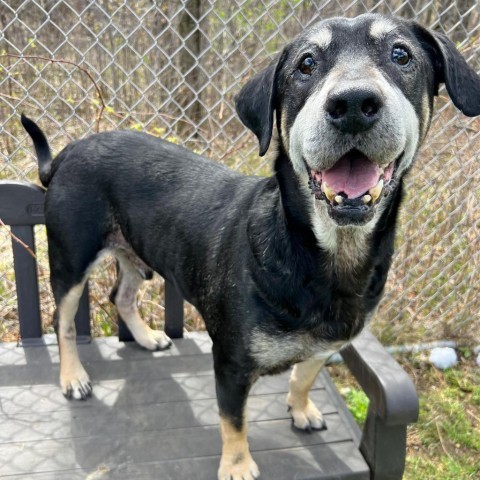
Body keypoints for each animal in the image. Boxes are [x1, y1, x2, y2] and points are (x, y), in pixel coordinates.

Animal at [21, 13, 480, 480]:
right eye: (306, 64)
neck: (319, 255)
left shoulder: (326, 343)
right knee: (62, 322)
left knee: (122, 295)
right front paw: (238, 465)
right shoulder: (231, 363)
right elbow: (233, 419)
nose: (353, 103)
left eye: (401, 54)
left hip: (133, 253)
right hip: (70, 258)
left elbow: (305, 375)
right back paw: (73, 378)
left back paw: (147, 338)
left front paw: (302, 409)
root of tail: (68, 151)